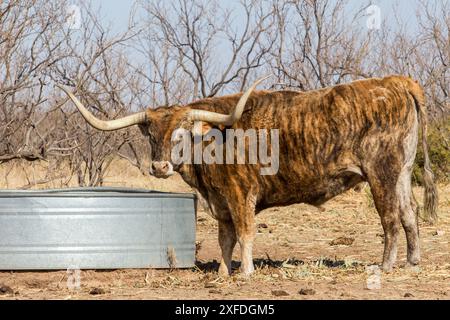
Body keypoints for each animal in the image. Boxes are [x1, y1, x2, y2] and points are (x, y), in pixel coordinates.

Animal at [58, 75, 438, 276]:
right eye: (151, 134)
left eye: (181, 133)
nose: (159, 167)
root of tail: (394, 82)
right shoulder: (220, 202)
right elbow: (226, 239)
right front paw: (224, 272)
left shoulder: (241, 195)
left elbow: (244, 234)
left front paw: (245, 272)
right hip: (402, 173)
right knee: (409, 214)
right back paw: (413, 262)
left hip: (382, 173)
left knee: (390, 218)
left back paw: (385, 266)